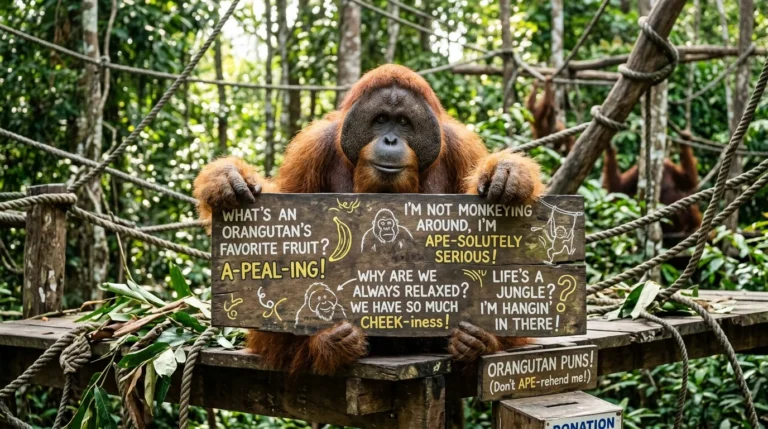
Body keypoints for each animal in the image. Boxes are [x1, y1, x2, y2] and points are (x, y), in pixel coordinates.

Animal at [194, 64, 546, 375]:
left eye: (403, 122)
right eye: (380, 120)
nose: (390, 140)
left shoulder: (463, 147)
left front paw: (508, 175)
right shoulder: (310, 149)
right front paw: (227, 180)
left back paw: (476, 341)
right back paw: (333, 343)